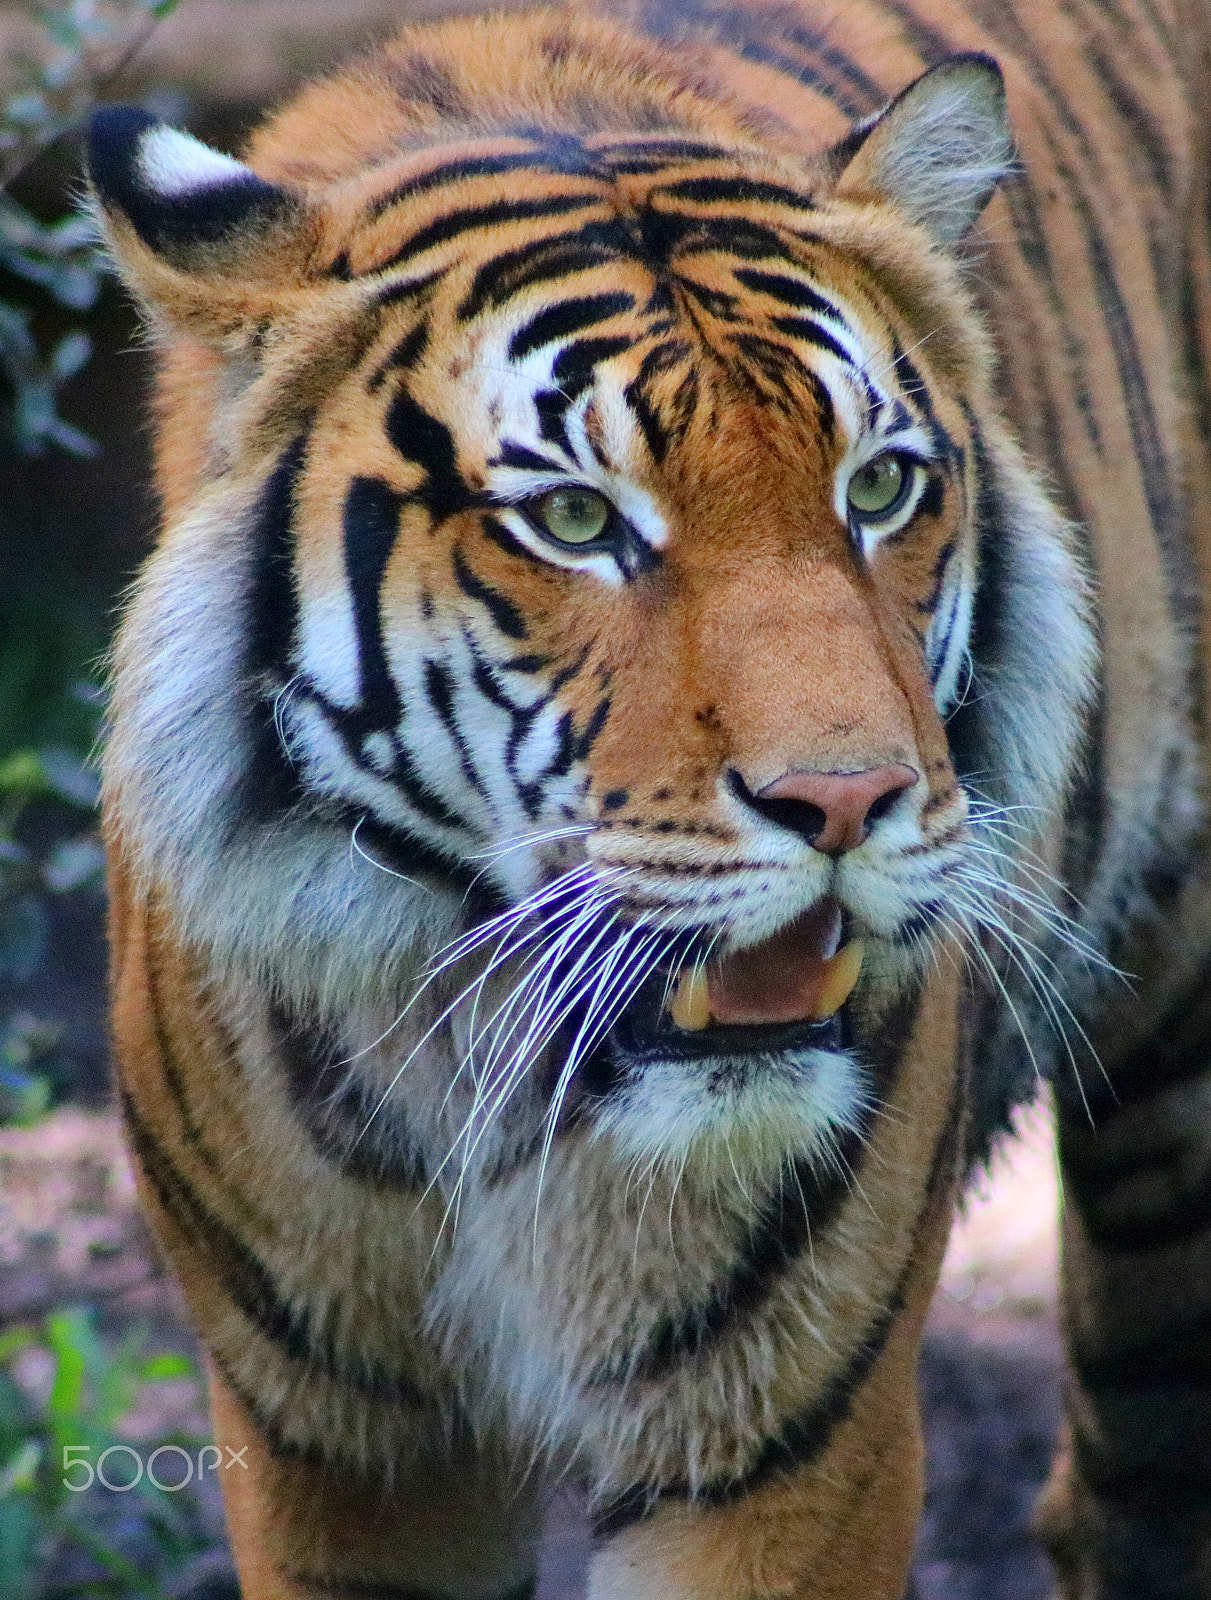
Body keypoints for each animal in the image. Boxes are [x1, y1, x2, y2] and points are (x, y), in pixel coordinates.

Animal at [86, 0, 1211, 1595]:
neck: (487, 1077)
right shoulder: (334, 1453)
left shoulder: (778, 1446)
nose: (846, 802)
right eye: (574, 519)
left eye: (875, 490)